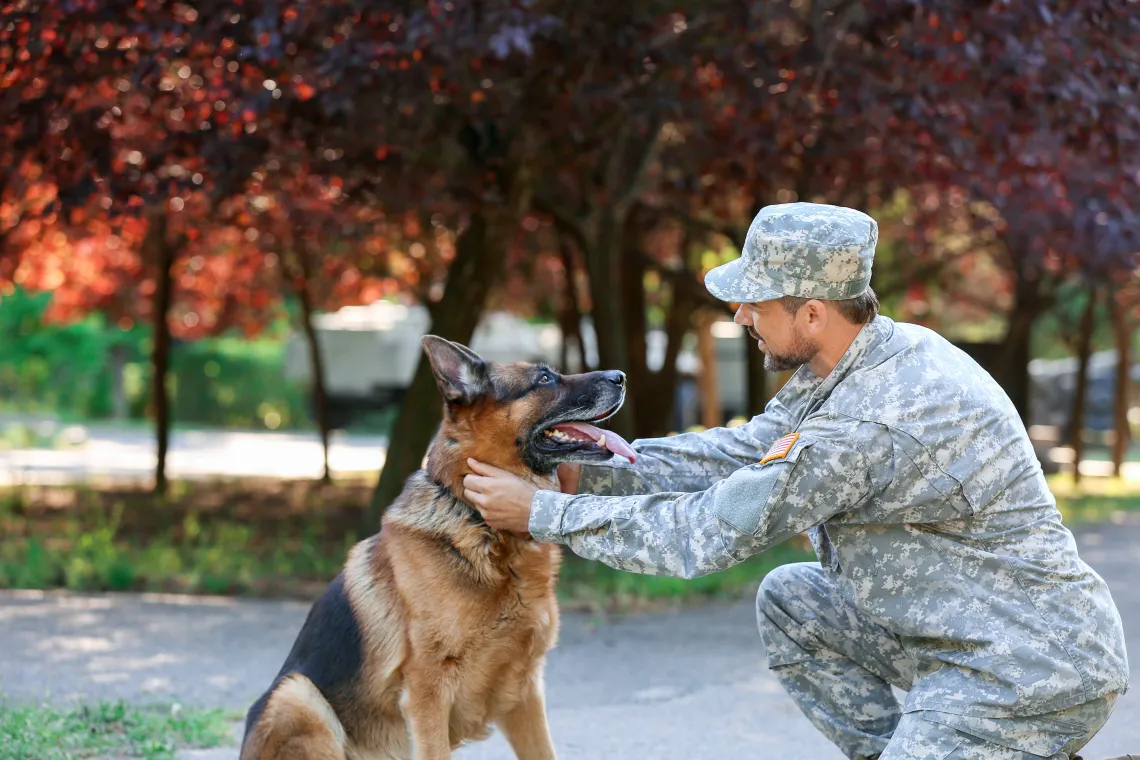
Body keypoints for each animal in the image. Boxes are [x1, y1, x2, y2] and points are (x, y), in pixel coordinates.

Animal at [239, 337, 638, 760]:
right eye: (544, 378)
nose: (621, 376)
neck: (480, 524)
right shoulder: (426, 695)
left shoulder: (524, 693)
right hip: (297, 695)